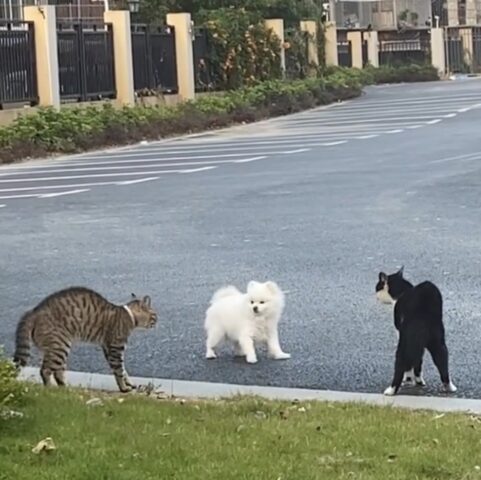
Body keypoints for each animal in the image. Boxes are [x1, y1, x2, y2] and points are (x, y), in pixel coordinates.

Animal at [13, 286, 158, 392]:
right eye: (155, 314)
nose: (157, 321)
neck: (129, 315)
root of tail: (34, 311)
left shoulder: (107, 348)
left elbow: (122, 369)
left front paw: (128, 382)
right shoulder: (116, 348)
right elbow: (119, 370)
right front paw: (123, 387)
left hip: (59, 348)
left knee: (58, 371)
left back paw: (64, 388)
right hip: (60, 345)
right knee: (45, 370)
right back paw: (50, 390)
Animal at [374, 268, 456, 396]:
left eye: (377, 287)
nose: (375, 295)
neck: (402, 291)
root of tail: (423, 315)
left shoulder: (399, 332)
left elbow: (410, 365)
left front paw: (408, 379)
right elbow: (418, 362)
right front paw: (418, 381)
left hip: (405, 343)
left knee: (401, 364)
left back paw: (391, 390)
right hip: (438, 342)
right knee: (442, 363)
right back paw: (449, 387)